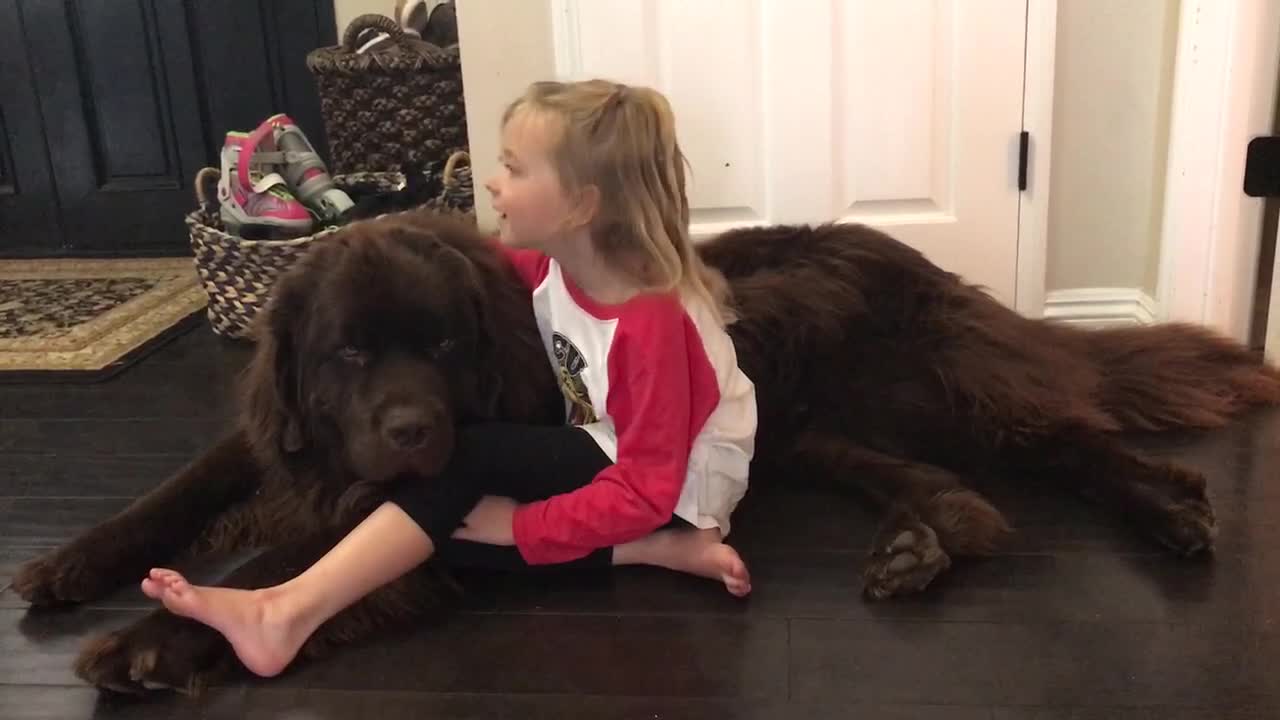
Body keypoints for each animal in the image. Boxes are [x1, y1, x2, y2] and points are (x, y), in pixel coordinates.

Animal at [12, 206, 1280, 691]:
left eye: (439, 345)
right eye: (347, 355)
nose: (411, 430)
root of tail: (926, 259)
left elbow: (291, 562)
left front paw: (164, 634)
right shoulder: (280, 441)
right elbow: (182, 487)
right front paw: (73, 563)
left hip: (942, 389)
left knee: (1071, 439)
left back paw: (1170, 509)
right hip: (822, 437)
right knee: (967, 498)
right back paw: (922, 546)